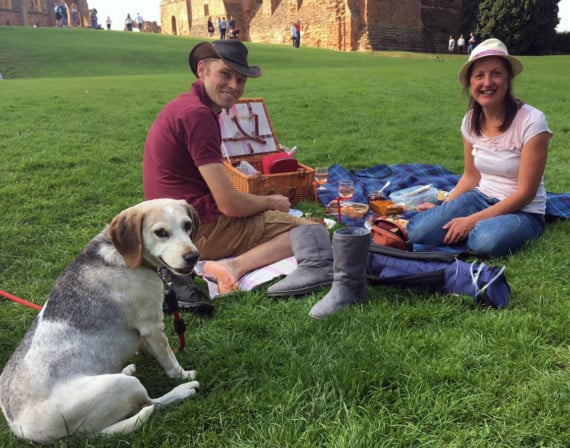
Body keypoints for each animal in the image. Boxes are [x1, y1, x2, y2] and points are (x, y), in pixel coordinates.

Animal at [0, 199, 202, 443]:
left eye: (187, 225)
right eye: (161, 232)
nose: (193, 256)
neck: (121, 255)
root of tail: (20, 427)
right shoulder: (153, 328)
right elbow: (170, 363)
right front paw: (183, 375)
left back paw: (126, 368)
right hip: (124, 387)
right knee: (151, 404)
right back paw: (183, 389)